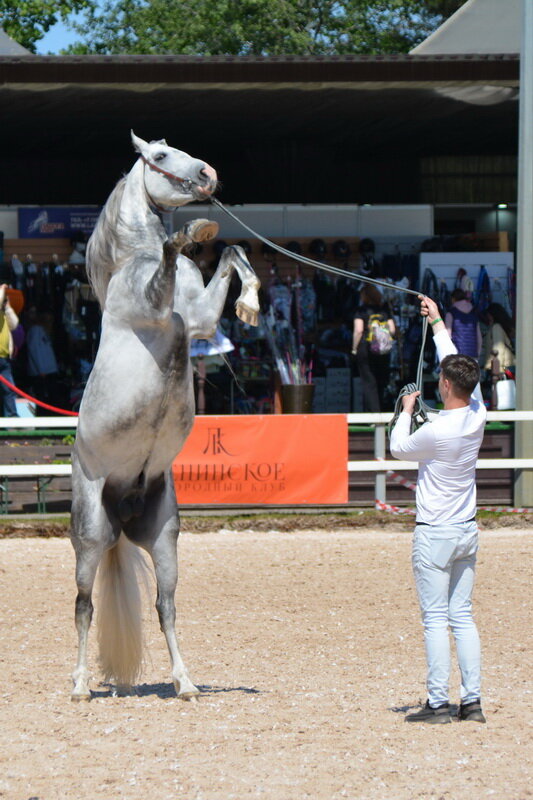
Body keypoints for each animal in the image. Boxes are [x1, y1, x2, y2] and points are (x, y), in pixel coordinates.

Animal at [69, 131, 260, 700]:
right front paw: (192, 232)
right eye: (158, 157)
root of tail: (122, 508)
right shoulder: (156, 310)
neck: (134, 256)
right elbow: (175, 251)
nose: (208, 175)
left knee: (165, 606)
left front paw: (250, 304)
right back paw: (80, 685)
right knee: (83, 606)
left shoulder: (197, 322)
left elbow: (233, 255)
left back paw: (186, 682)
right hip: (90, 535)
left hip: (164, 537)